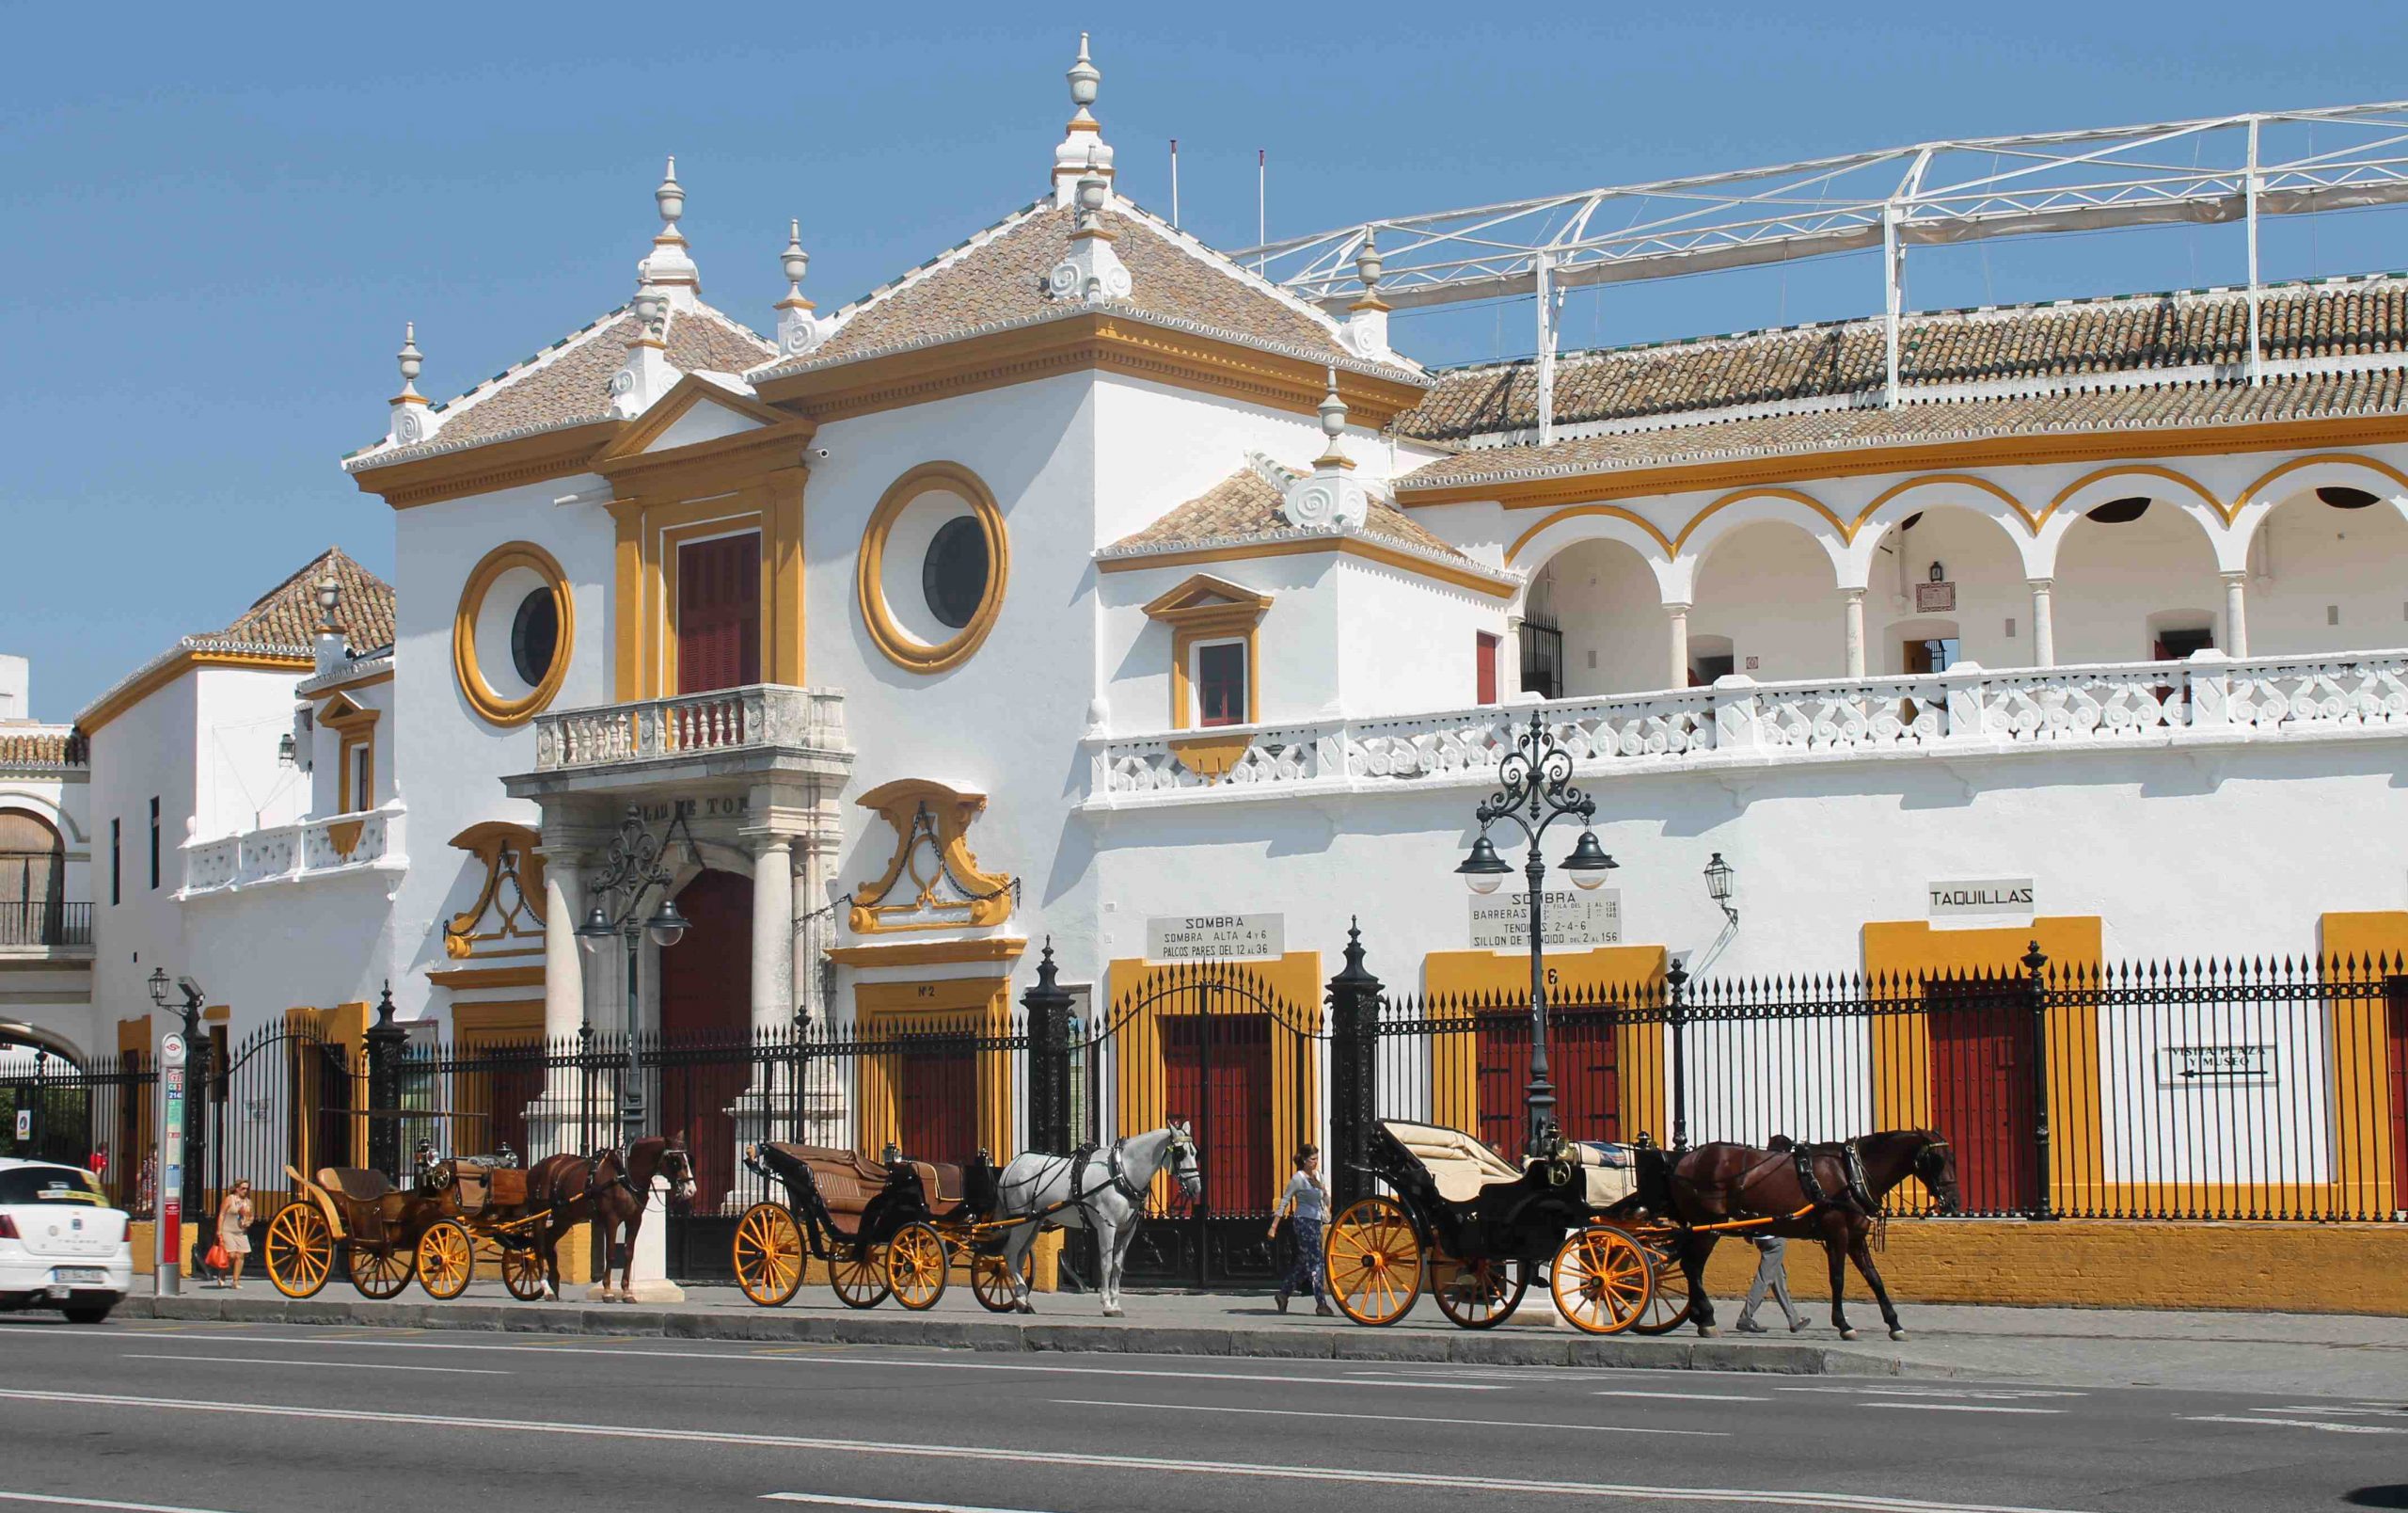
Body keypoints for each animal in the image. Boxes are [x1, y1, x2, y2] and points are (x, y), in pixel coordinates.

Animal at [531, 1137, 703, 1300]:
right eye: (676, 1161)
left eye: (689, 1160)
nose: (691, 1190)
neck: (625, 1174)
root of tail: (539, 1165)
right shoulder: (611, 1220)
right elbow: (611, 1254)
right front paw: (607, 1291)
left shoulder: (635, 1220)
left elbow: (629, 1253)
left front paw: (626, 1292)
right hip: (541, 1214)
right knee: (540, 1245)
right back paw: (546, 1287)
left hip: (565, 1218)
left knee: (549, 1240)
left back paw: (554, 1286)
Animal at [982, 1118, 1198, 1320]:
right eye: (1180, 1153)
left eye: (1194, 1152)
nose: (1196, 1188)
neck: (1121, 1172)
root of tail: (1012, 1165)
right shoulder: (1106, 1227)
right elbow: (1106, 1264)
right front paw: (1108, 1305)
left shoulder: (1127, 1229)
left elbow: (1118, 1265)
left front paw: (1116, 1303)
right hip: (1022, 1222)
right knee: (1010, 1254)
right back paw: (1020, 1297)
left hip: (1034, 1222)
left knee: (1020, 1257)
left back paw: (1022, 1301)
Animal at [1666, 1127, 1964, 1339]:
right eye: (1936, 1160)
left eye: (1952, 1158)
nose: (1954, 1202)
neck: (1851, 1174)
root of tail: (1684, 1160)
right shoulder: (1837, 1233)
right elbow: (1838, 1279)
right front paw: (1843, 1324)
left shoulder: (1856, 1238)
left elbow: (1874, 1278)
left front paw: (1894, 1323)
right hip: (1708, 1226)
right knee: (1692, 1266)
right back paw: (1706, 1318)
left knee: (1690, 1265)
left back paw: (1700, 1316)